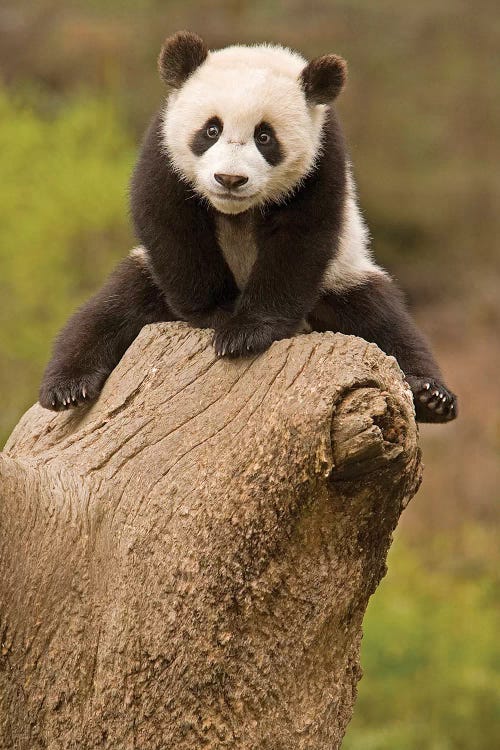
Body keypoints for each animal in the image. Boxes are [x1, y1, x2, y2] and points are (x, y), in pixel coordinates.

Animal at [40, 30, 458, 424]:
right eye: (211, 130)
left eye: (265, 136)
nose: (229, 179)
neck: (235, 212)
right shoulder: (163, 148)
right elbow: (170, 223)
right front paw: (219, 314)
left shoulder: (322, 161)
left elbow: (299, 242)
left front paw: (244, 333)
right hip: (149, 282)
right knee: (106, 314)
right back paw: (68, 387)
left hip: (341, 277)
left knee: (382, 321)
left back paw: (431, 396)